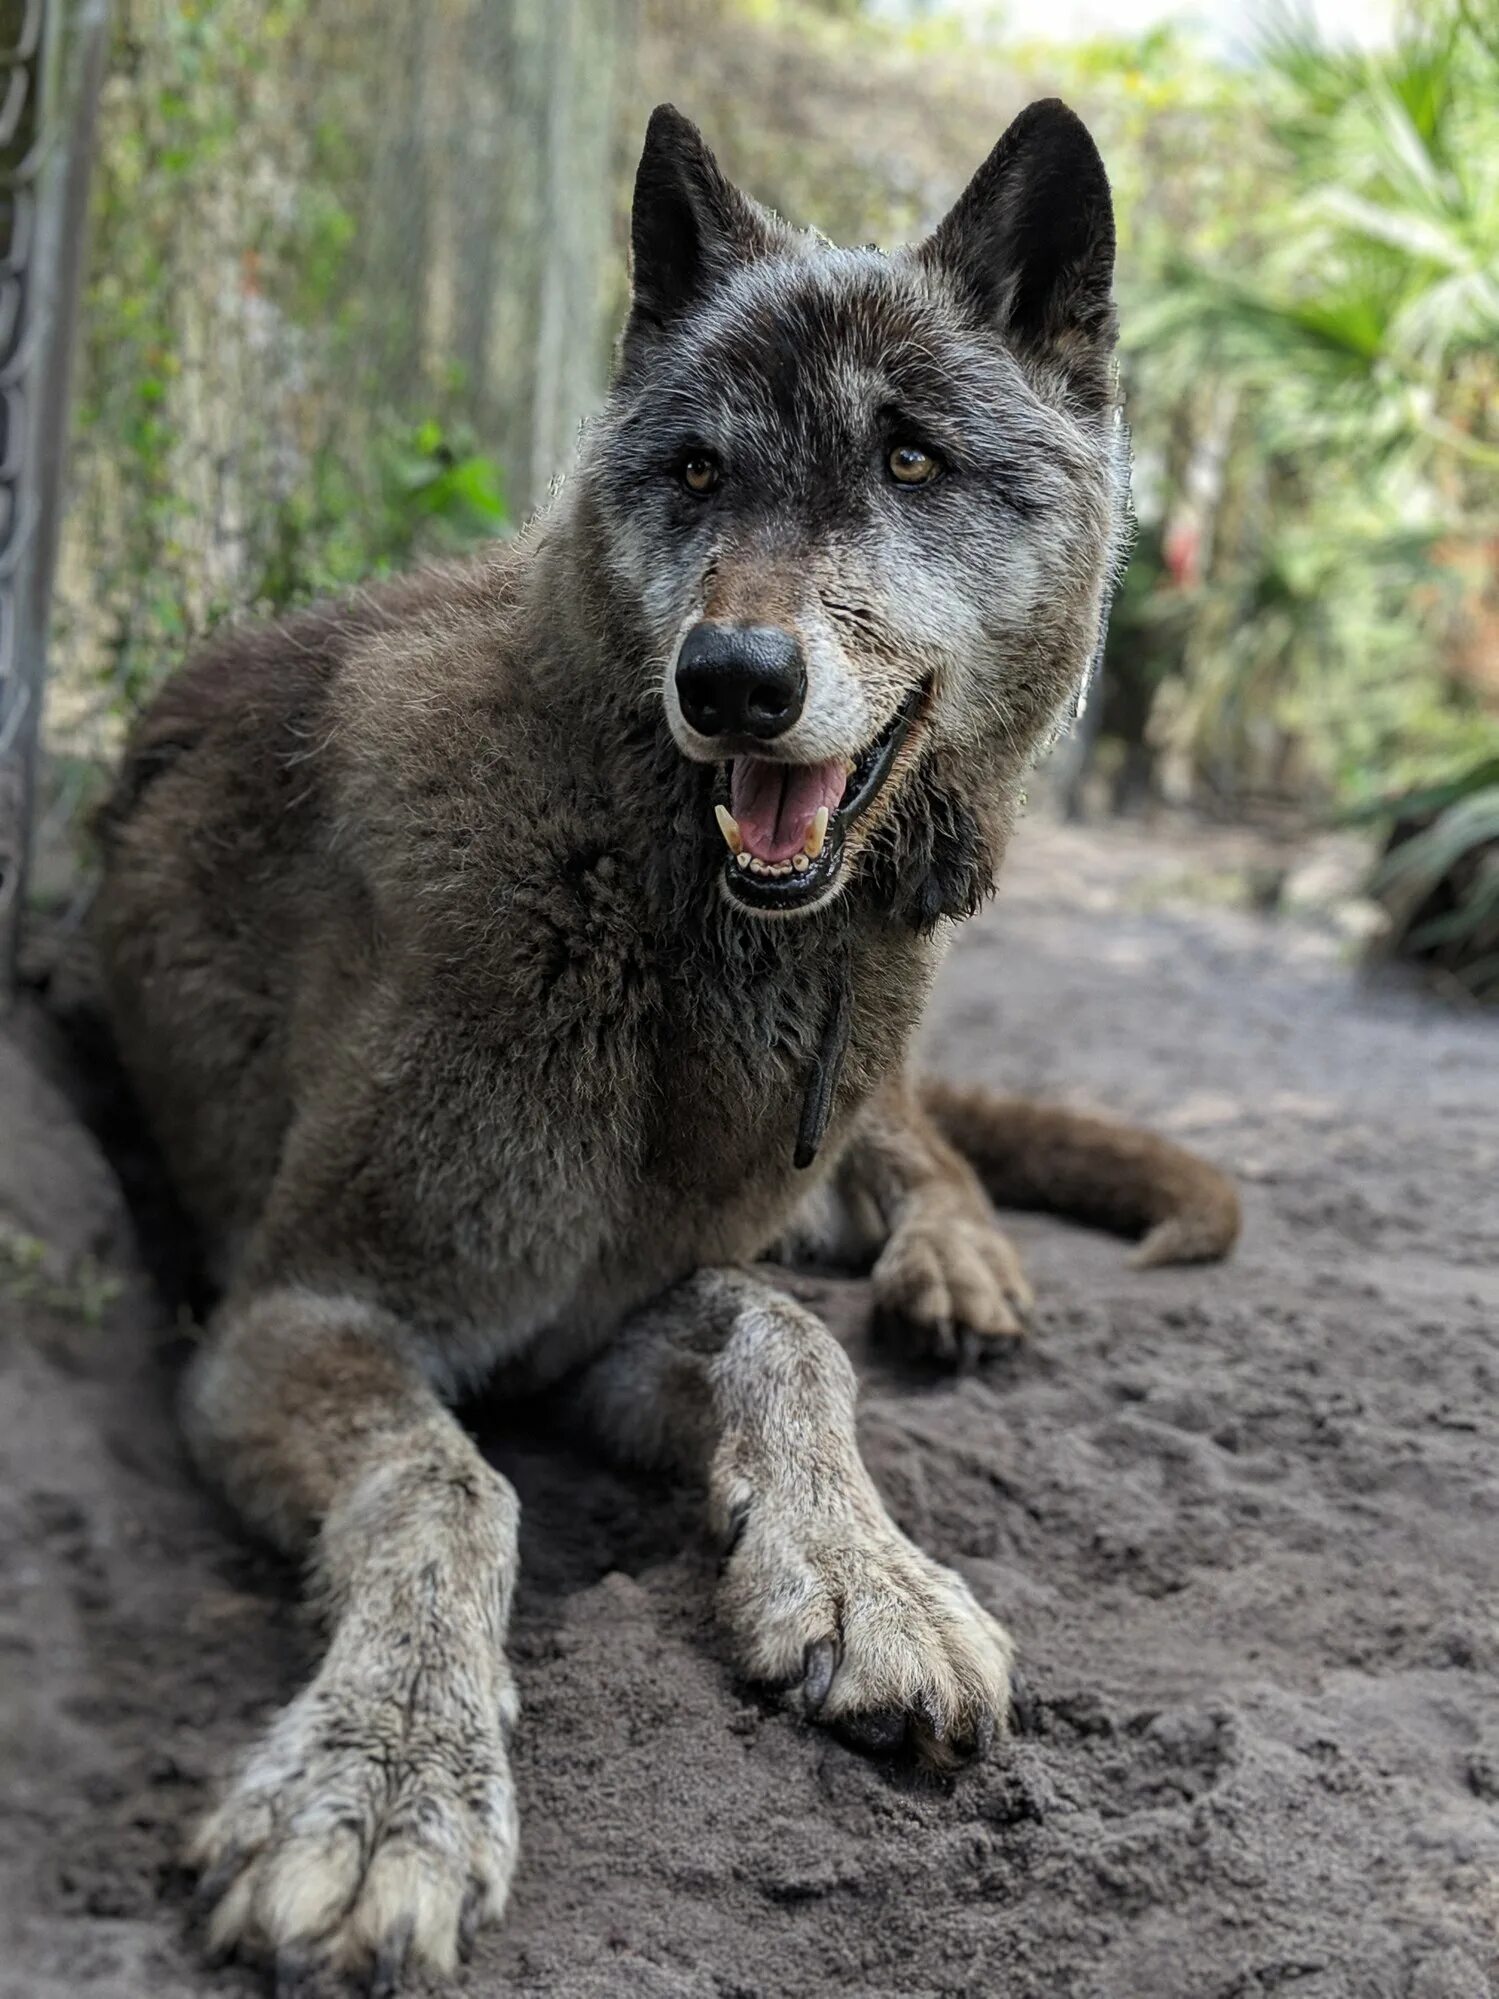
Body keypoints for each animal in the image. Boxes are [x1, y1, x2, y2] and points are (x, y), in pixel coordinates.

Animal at [96, 105, 1247, 1983]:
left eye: (910, 461)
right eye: (697, 475)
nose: (732, 679)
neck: (657, 898)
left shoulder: (609, 1318)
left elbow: (790, 1333)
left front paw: (862, 1574)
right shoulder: (299, 1318)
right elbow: (450, 1484)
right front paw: (381, 1787)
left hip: (866, 1107)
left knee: (918, 1163)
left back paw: (954, 1265)